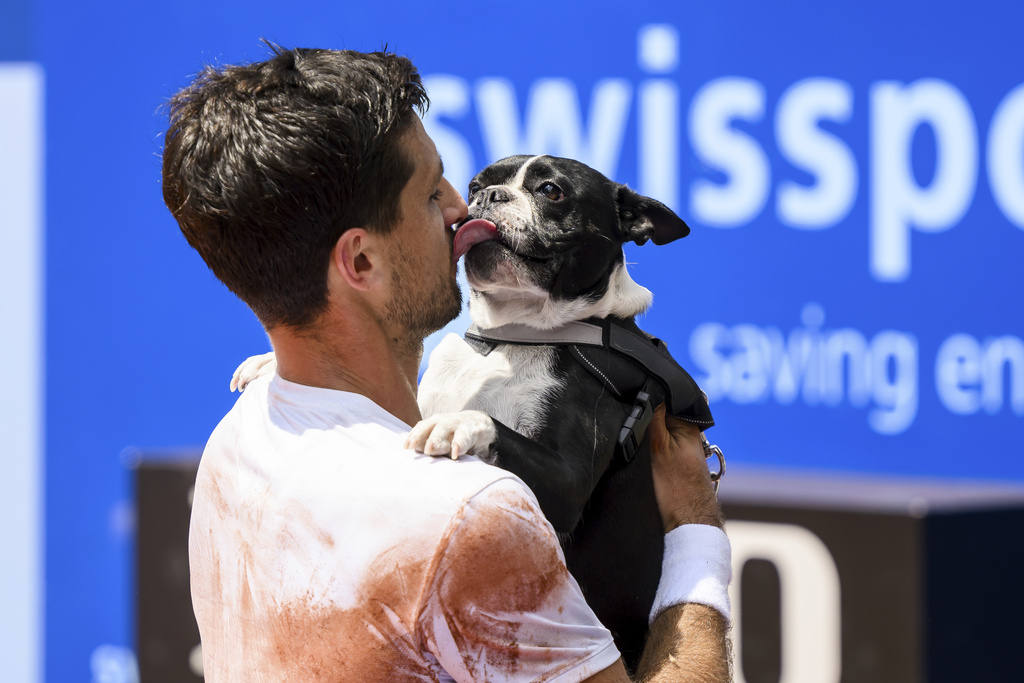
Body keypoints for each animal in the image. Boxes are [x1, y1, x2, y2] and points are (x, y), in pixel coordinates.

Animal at [403, 153, 716, 667]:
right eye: (473, 187)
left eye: (552, 191)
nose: (488, 197)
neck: (512, 336)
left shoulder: (567, 482)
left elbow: (492, 424)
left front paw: (454, 423)